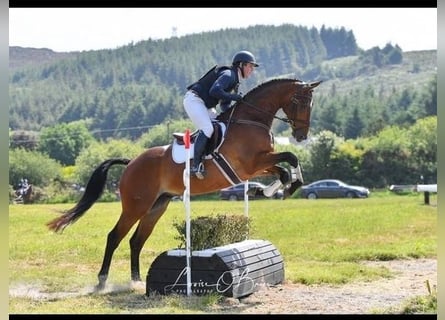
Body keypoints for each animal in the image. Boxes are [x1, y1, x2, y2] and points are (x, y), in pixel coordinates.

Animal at [46, 77, 320, 290]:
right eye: (299, 102)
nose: (301, 135)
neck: (250, 120)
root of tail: (132, 161)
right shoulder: (252, 164)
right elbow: (289, 159)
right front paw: (279, 188)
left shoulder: (260, 164)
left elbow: (284, 168)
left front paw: (267, 189)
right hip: (136, 206)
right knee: (115, 237)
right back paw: (102, 281)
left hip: (157, 206)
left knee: (136, 240)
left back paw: (136, 281)